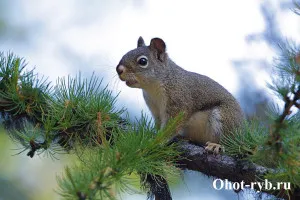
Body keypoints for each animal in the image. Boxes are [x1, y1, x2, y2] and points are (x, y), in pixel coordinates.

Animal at [116, 37, 245, 153]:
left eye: (143, 61)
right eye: (125, 53)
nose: (119, 69)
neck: (153, 88)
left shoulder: (177, 103)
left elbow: (170, 126)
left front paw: (156, 141)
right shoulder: (155, 109)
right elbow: (159, 124)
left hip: (225, 117)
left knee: (228, 140)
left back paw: (216, 145)